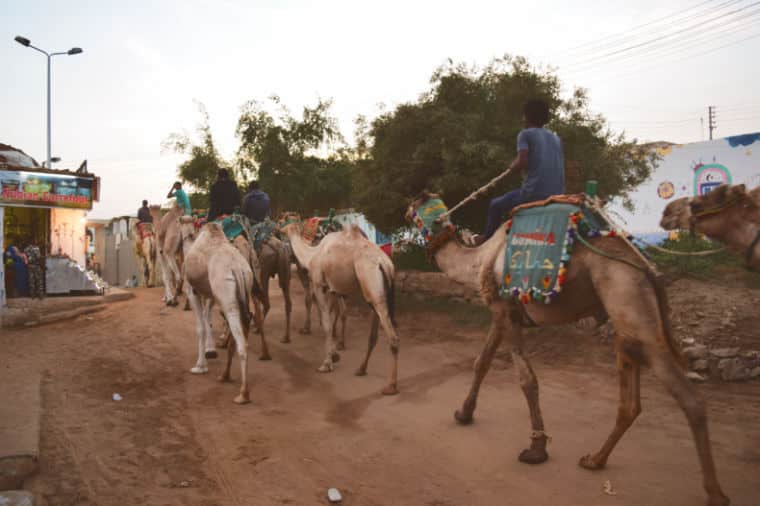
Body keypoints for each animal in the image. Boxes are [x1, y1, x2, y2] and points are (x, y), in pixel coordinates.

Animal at [180, 221, 255, 404]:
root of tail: (237, 268)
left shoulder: (192, 291)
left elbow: (200, 327)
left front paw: (200, 366)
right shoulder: (210, 295)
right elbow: (207, 319)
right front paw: (210, 351)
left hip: (227, 295)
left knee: (241, 340)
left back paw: (243, 394)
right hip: (241, 293)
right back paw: (225, 376)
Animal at [280, 224, 398, 396]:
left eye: (284, 226)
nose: (278, 231)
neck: (312, 255)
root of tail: (386, 264)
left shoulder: (319, 285)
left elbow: (326, 323)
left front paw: (326, 363)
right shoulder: (333, 290)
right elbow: (331, 318)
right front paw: (335, 354)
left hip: (372, 284)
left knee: (393, 337)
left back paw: (391, 386)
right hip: (376, 292)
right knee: (373, 335)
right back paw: (361, 369)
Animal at [406, 193, 728, 506]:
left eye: (413, 207)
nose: (405, 214)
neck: (480, 259)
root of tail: (646, 267)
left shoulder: (505, 310)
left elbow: (526, 380)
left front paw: (536, 449)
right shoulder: (500, 312)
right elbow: (481, 362)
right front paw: (464, 414)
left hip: (628, 299)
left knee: (689, 398)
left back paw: (715, 492)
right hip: (626, 317)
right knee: (631, 402)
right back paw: (595, 460)